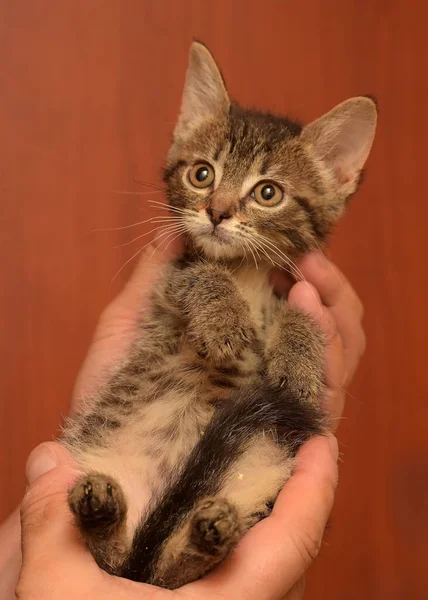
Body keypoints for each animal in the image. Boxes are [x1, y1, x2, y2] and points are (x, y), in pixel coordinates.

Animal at [61, 42, 376, 592]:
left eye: (268, 192)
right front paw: (224, 318)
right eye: (201, 174)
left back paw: (207, 532)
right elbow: (200, 275)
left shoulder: (297, 290)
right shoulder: (167, 283)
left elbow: (300, 316)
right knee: (128, 564)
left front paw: (298, 361)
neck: (245, 274)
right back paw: (103, 513)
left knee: (176, 566)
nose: (217, 211)